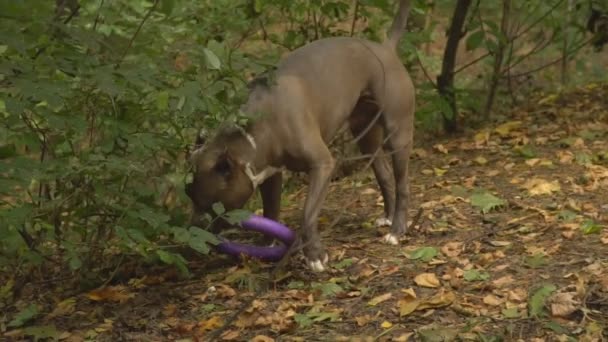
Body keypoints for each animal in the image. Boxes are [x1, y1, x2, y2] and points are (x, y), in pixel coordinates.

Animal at [184, 0, 414, 272]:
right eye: (188, 195)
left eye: (212, 205)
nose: (191, 233)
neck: (250, 134)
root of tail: (385, 48)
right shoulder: (270, 175)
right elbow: (271, 211)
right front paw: (267, 246)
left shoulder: (322, 165)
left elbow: (307, 213)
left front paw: (314, 256)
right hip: (366, 137)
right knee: (384, 175)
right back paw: (387, 218)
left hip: (398, 133)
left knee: (401, 183)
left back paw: (397, 230)